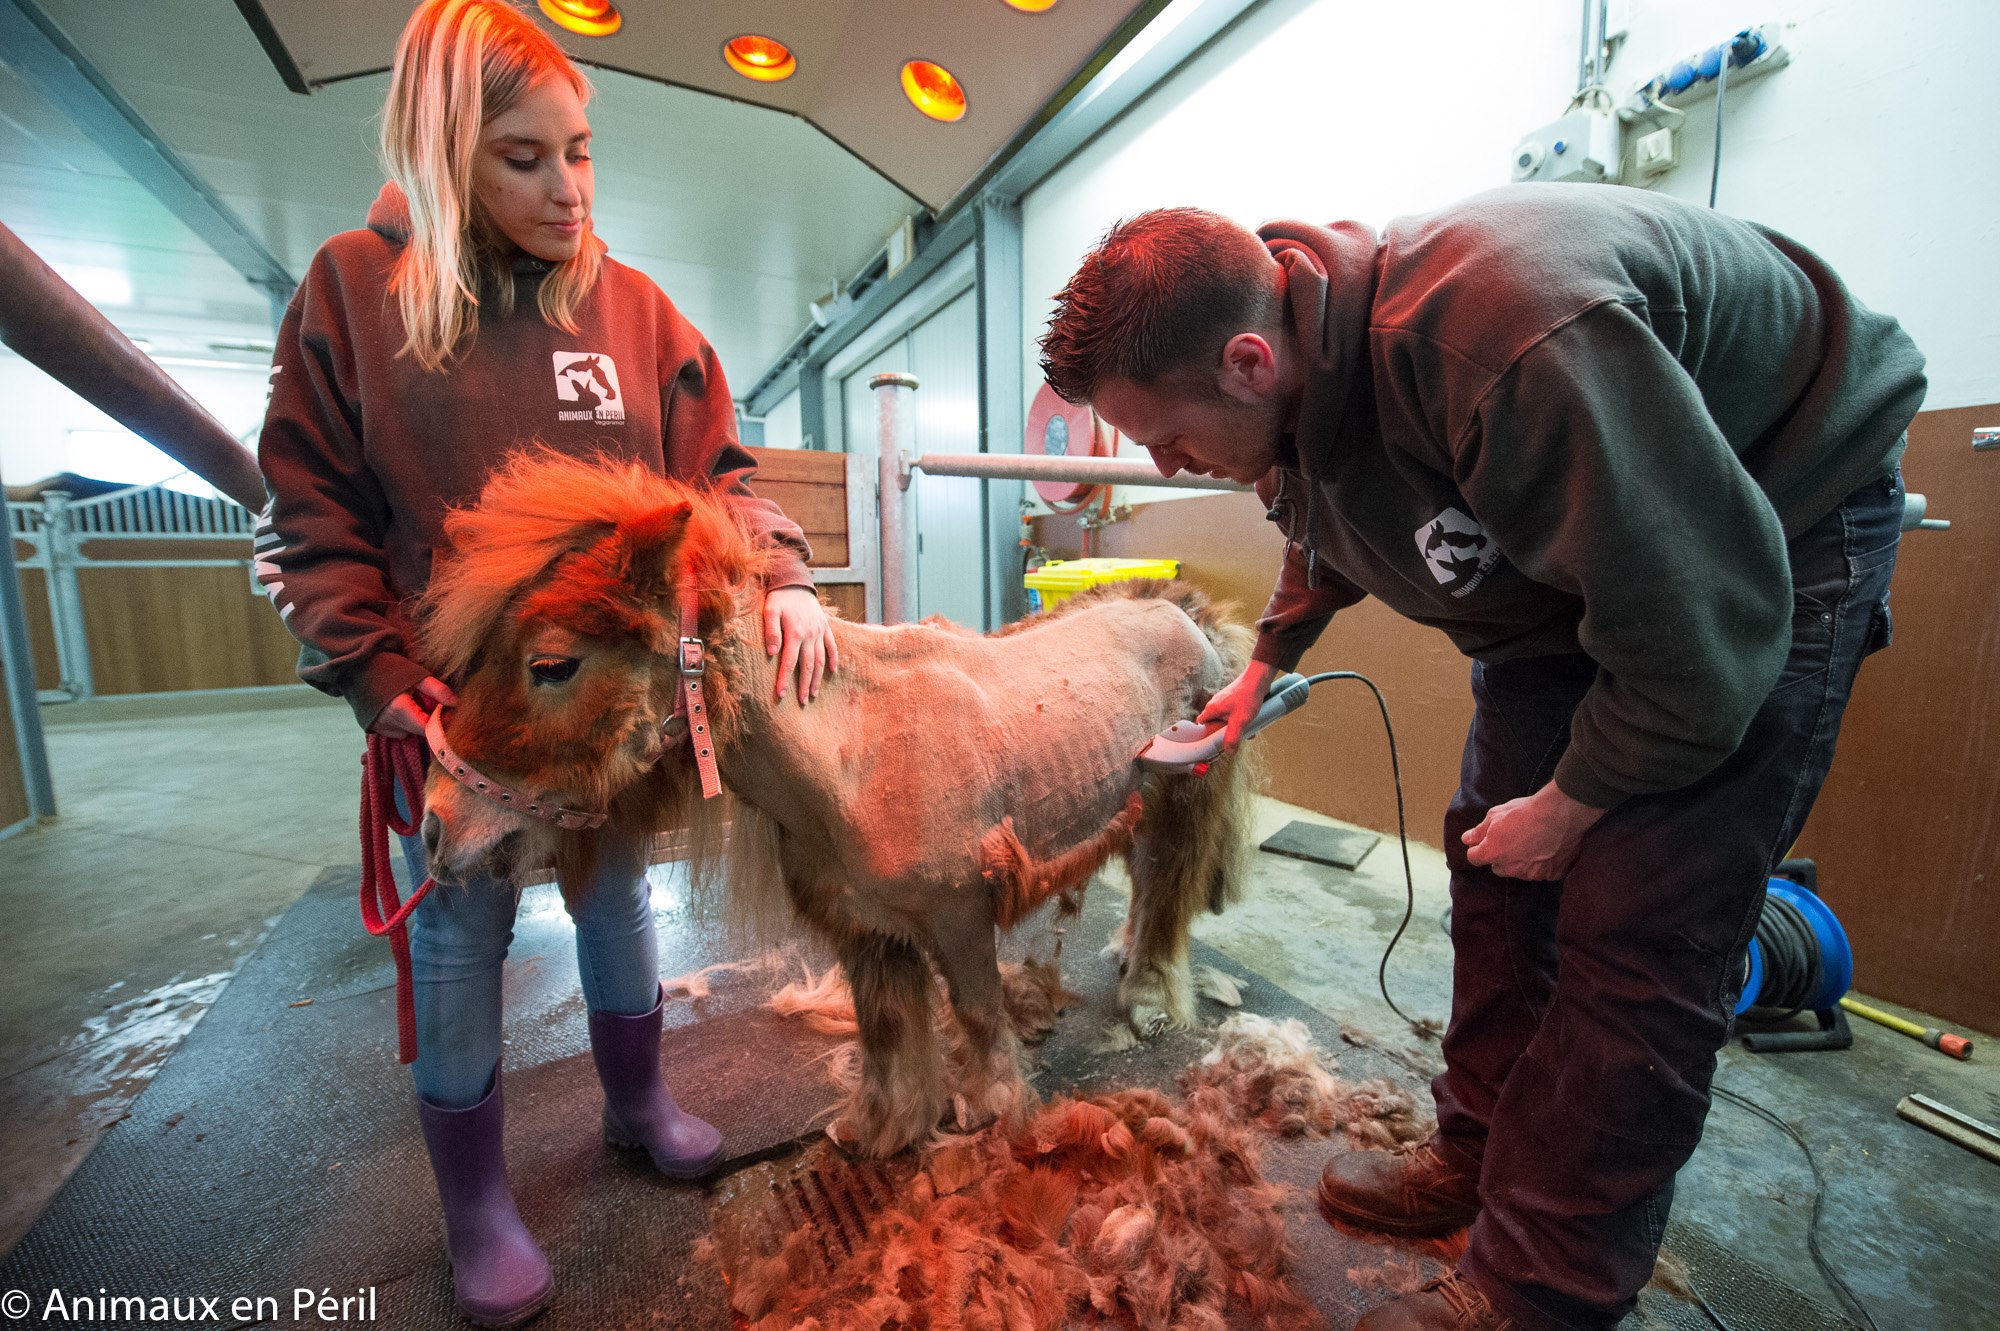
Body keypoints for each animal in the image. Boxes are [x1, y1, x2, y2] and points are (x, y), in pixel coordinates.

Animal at [416, 451, 1256, 1159]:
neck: (852, 751)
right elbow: (887, 1036)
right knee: (1144, 886)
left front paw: (993, 1118)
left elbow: (981, 1018)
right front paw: (882, 1129)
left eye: (551, 664)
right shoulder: (866, 932)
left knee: (1165, 893)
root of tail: (1188, 611)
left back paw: (1149, 999)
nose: (435, 826)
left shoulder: (960, 916)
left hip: (1183, 802)